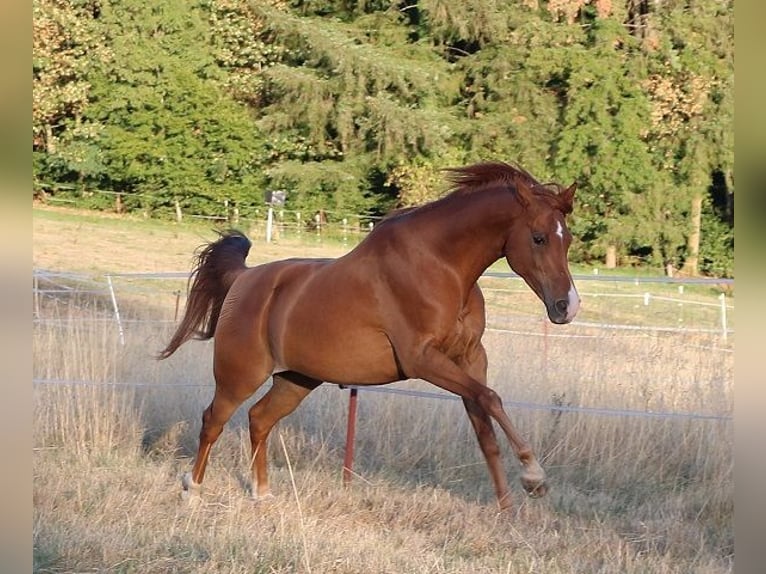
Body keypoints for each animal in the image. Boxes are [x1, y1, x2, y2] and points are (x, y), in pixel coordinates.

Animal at [159, 161, 580, 511]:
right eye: (539, 237)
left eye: (568, 239)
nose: (567, 307)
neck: (440, 265)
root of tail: (243, 278)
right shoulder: (422, 359)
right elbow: (491, 399)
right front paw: (534, 477)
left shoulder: (471, 358)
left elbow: (485, 425)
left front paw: (507, 508)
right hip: (239, 376)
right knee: (213, 420)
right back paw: (192, 491)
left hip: (296, 380)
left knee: (260, 419)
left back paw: (263, 495)